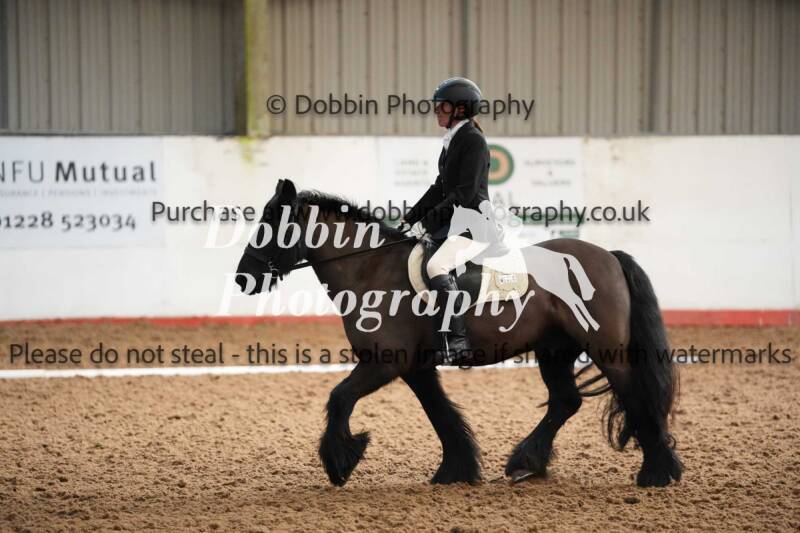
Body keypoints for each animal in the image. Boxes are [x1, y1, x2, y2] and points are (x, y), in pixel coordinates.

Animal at [235, 179, 683, 488]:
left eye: (271, 225)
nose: (244, 278)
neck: (370, 268)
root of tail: (609, 256)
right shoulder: (415, 368)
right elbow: (441, 414)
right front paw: (456, 470)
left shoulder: (383, 363)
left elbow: (340, 398)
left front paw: (340, 462)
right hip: (554, 349)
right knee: (565, 401)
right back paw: (525, 464)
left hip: (605, 348)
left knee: (635, 394)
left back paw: (657, 472)